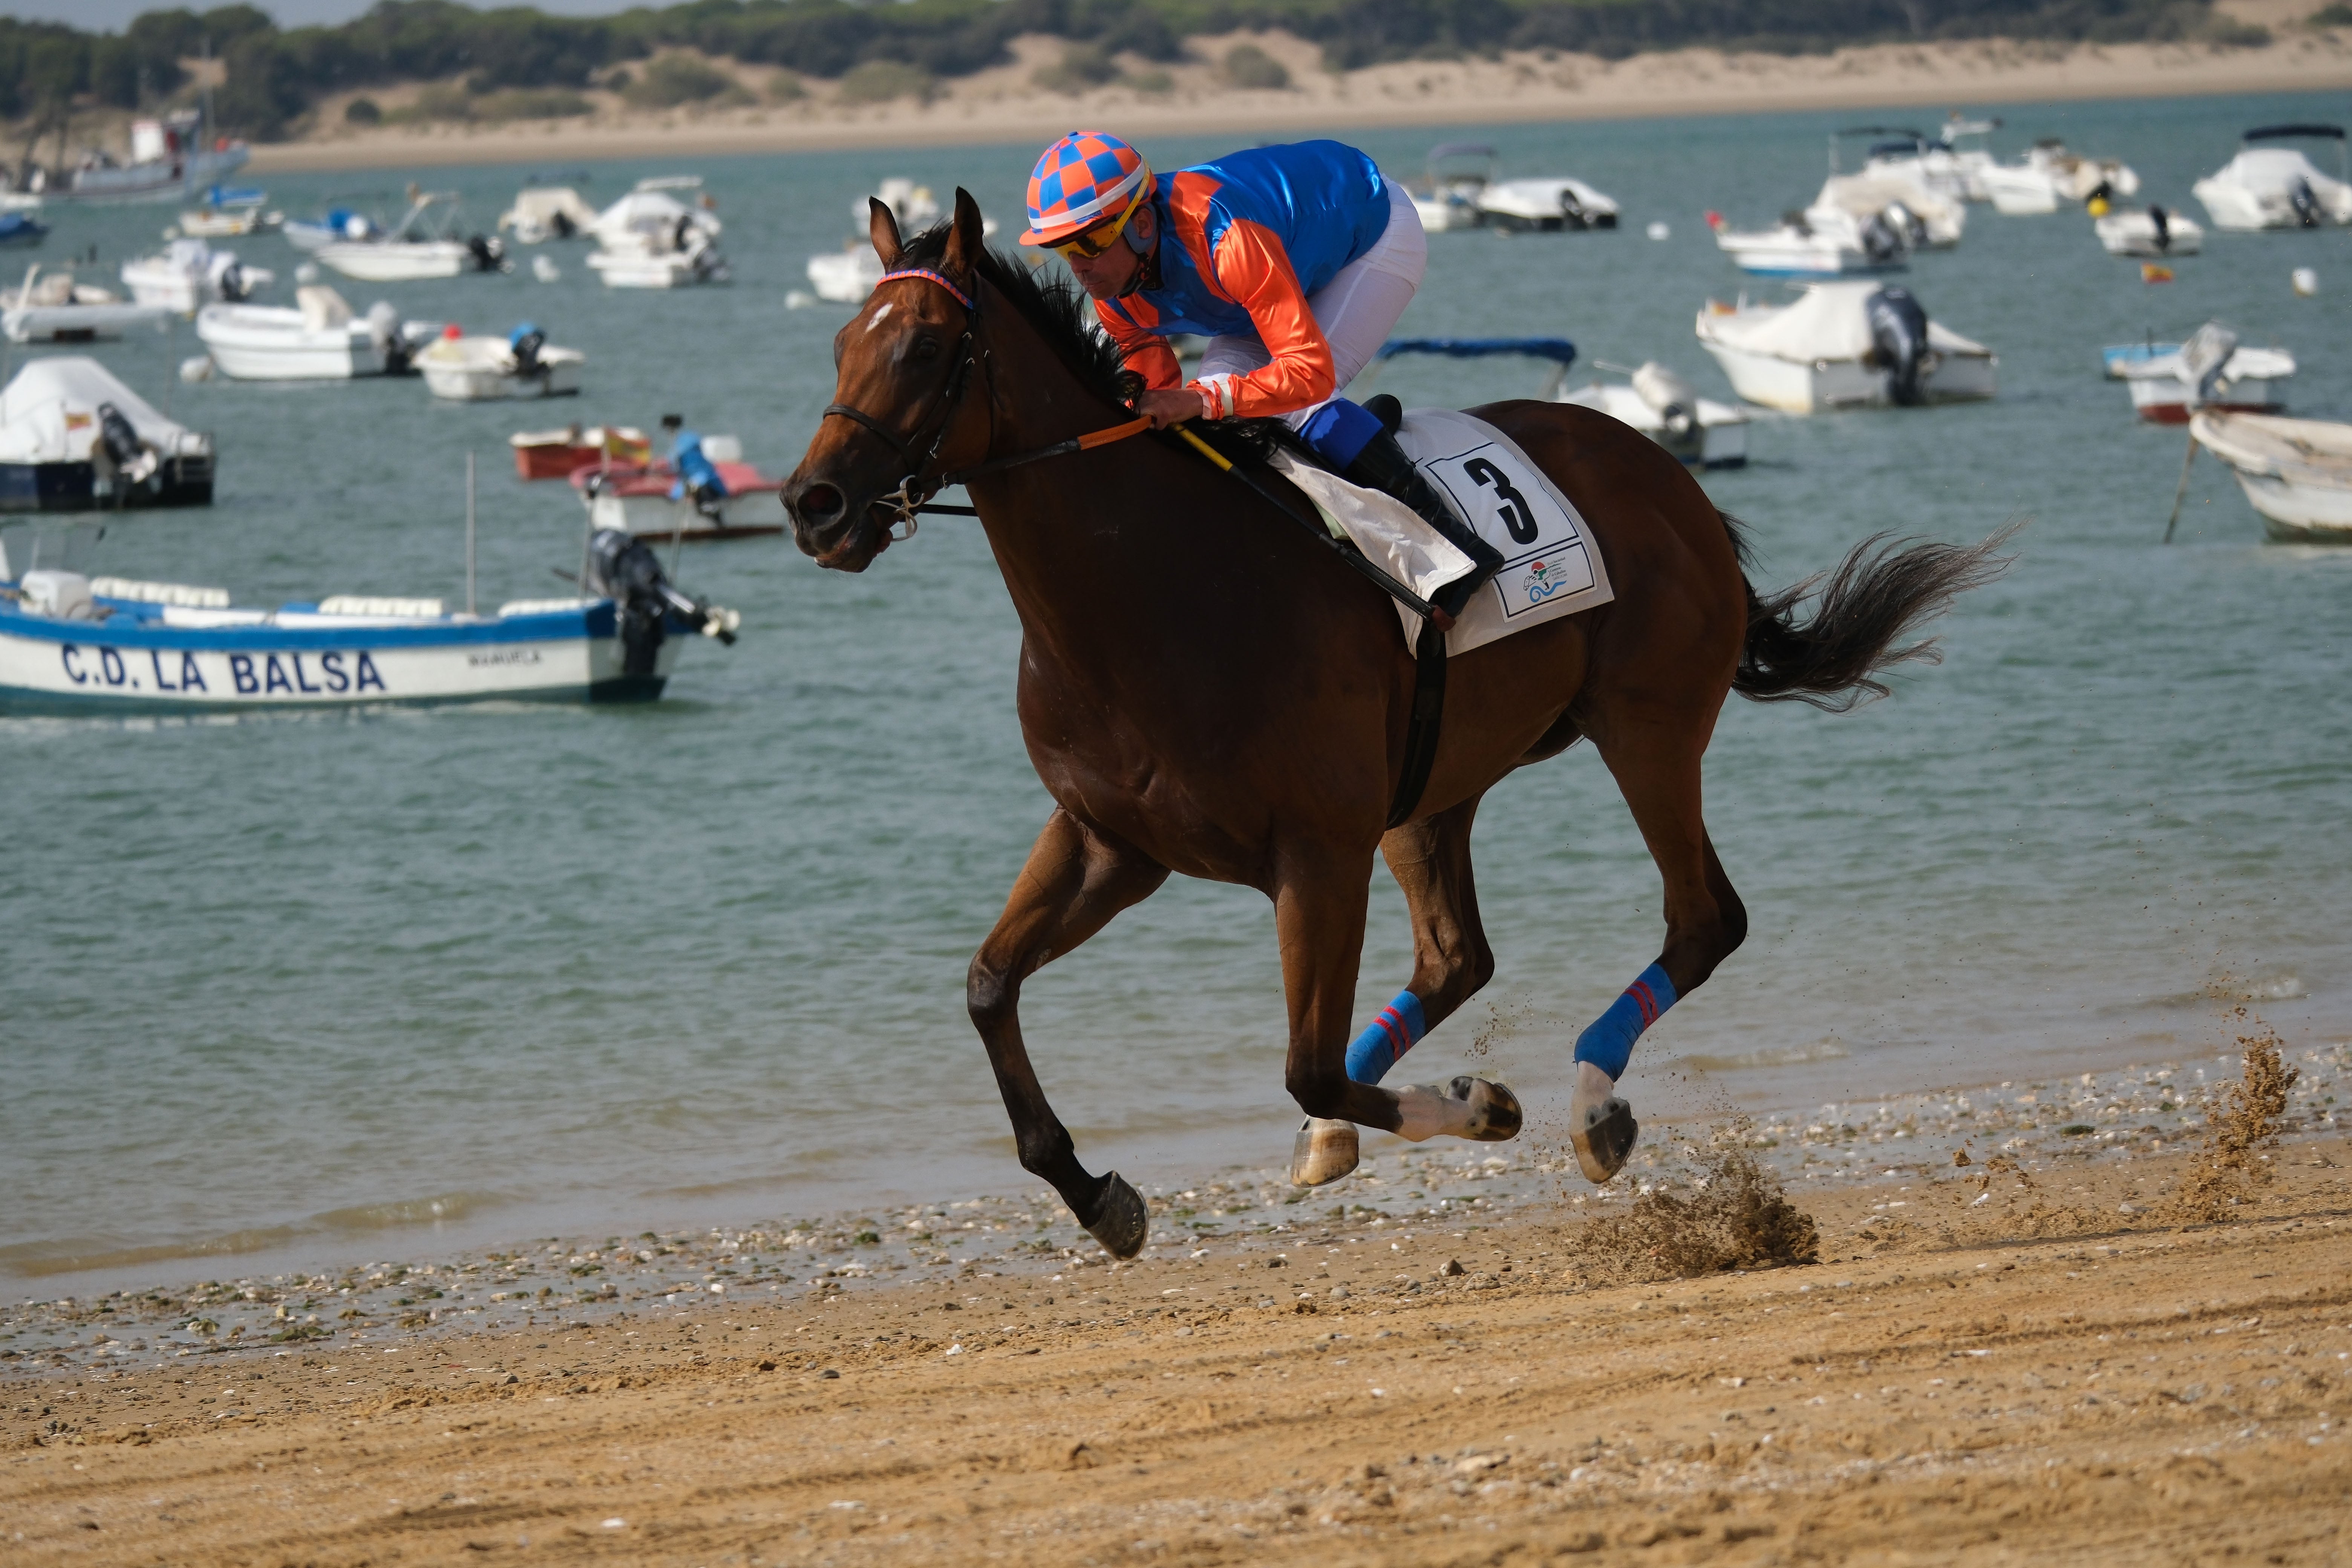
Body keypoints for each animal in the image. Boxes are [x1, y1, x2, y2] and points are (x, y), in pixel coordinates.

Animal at [786, 196, 2004, 1260]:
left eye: (926, 348)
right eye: (843, 339)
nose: (813, 505)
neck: (1156, 592)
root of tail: (1666, 472)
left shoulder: (1315, 856)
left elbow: (1306, 1063)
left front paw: (1483, 1105)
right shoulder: (1111, 841)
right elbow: (990, 987)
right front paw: (1100, 1198)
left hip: (1647, 729)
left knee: (1703, 919)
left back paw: (1590, 1107)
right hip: (1434, 784)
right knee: (1459, 954)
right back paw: (1362, 1131)